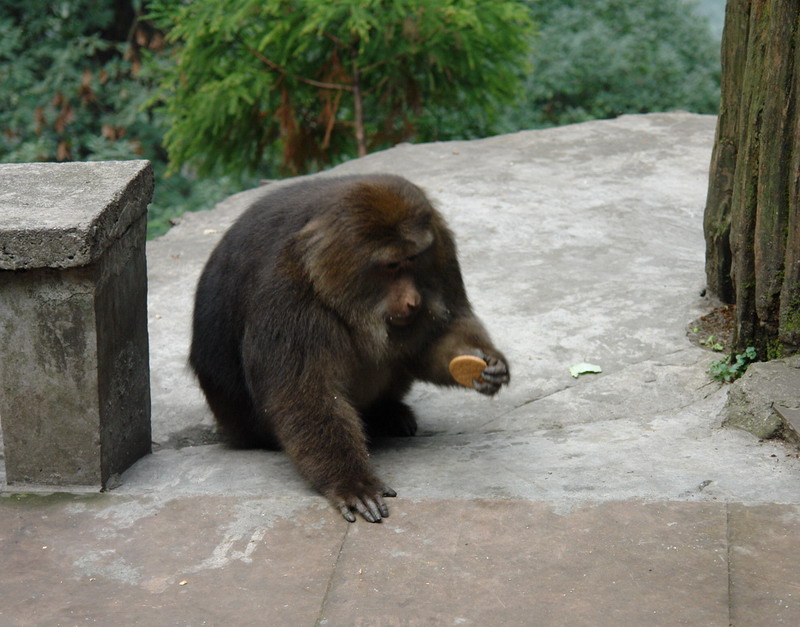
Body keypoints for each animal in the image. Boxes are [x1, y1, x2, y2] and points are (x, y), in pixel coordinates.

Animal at [191, 174, 510, 524]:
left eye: (413, 260)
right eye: (390, 266)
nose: (412, 300)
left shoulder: (442, 251)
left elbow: (436, 334)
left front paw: (487, 364)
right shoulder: (287, 290)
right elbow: (305, 394)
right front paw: (351, 482)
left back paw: (384, 411)